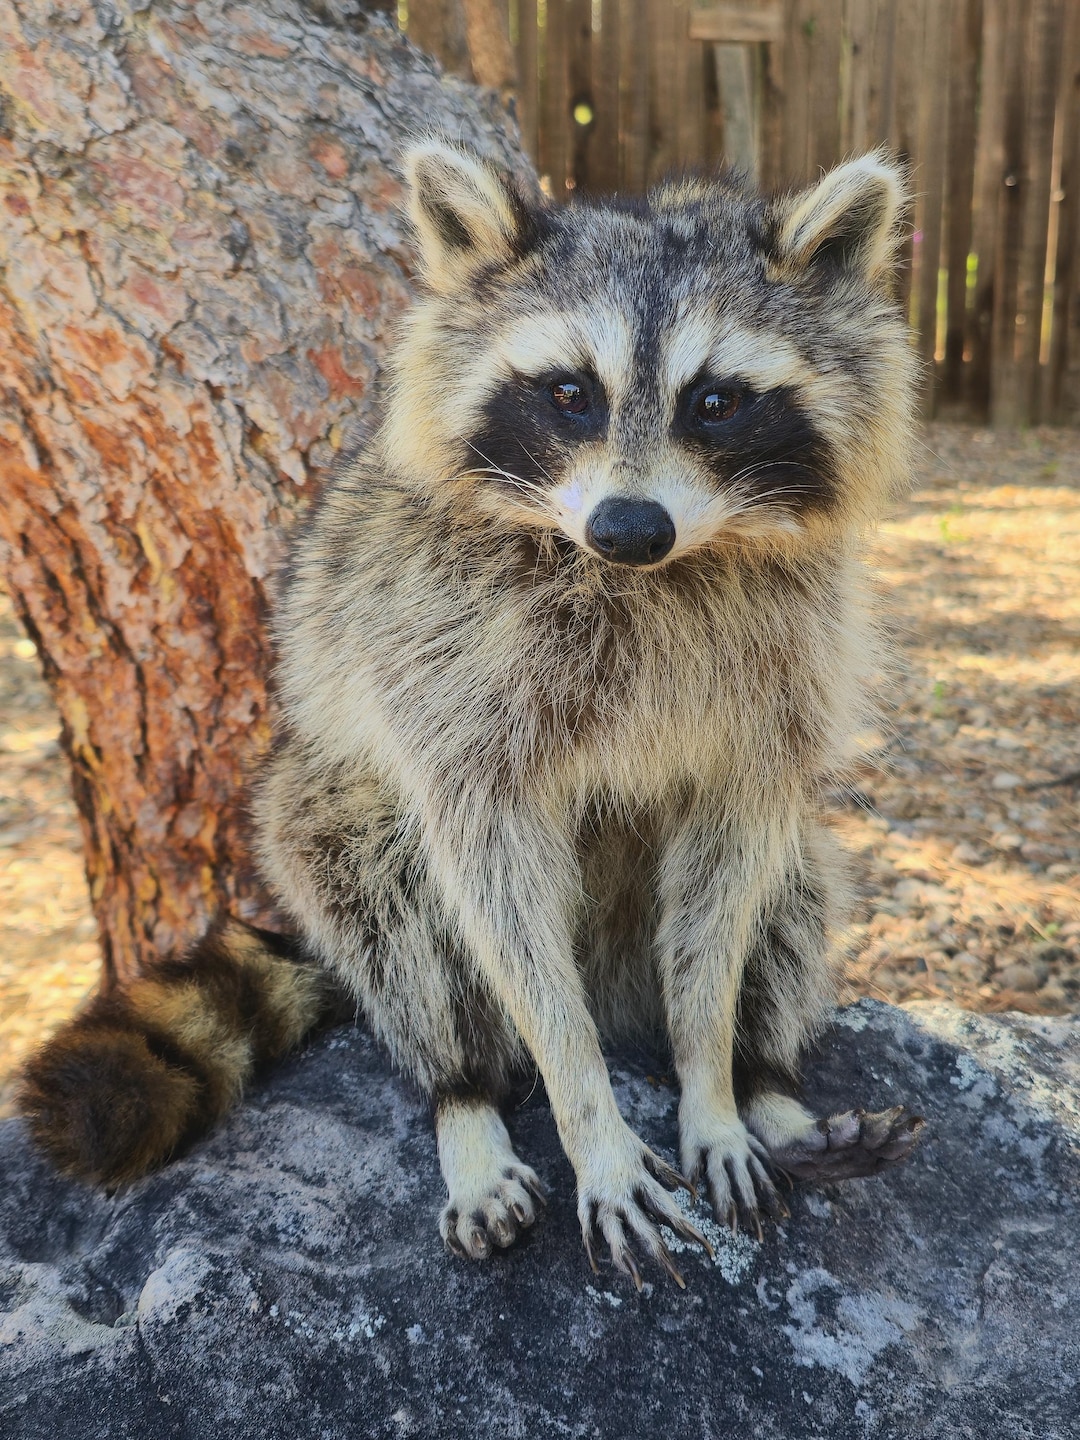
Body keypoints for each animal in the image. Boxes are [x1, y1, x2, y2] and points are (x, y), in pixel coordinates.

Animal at [21, 139, 924, 1287]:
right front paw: (590, 1123)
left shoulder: (787, 669)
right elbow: (492, 885)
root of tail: (617, 988)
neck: (652, 573)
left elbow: (729, 877)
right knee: (381, 880)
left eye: (717, 401)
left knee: (793, 879)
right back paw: (466, 1101)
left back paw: (772, 1085)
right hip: (330, 804)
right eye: (570, 393)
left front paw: (714, 1083)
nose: (630, 526)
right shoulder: (446, 655)